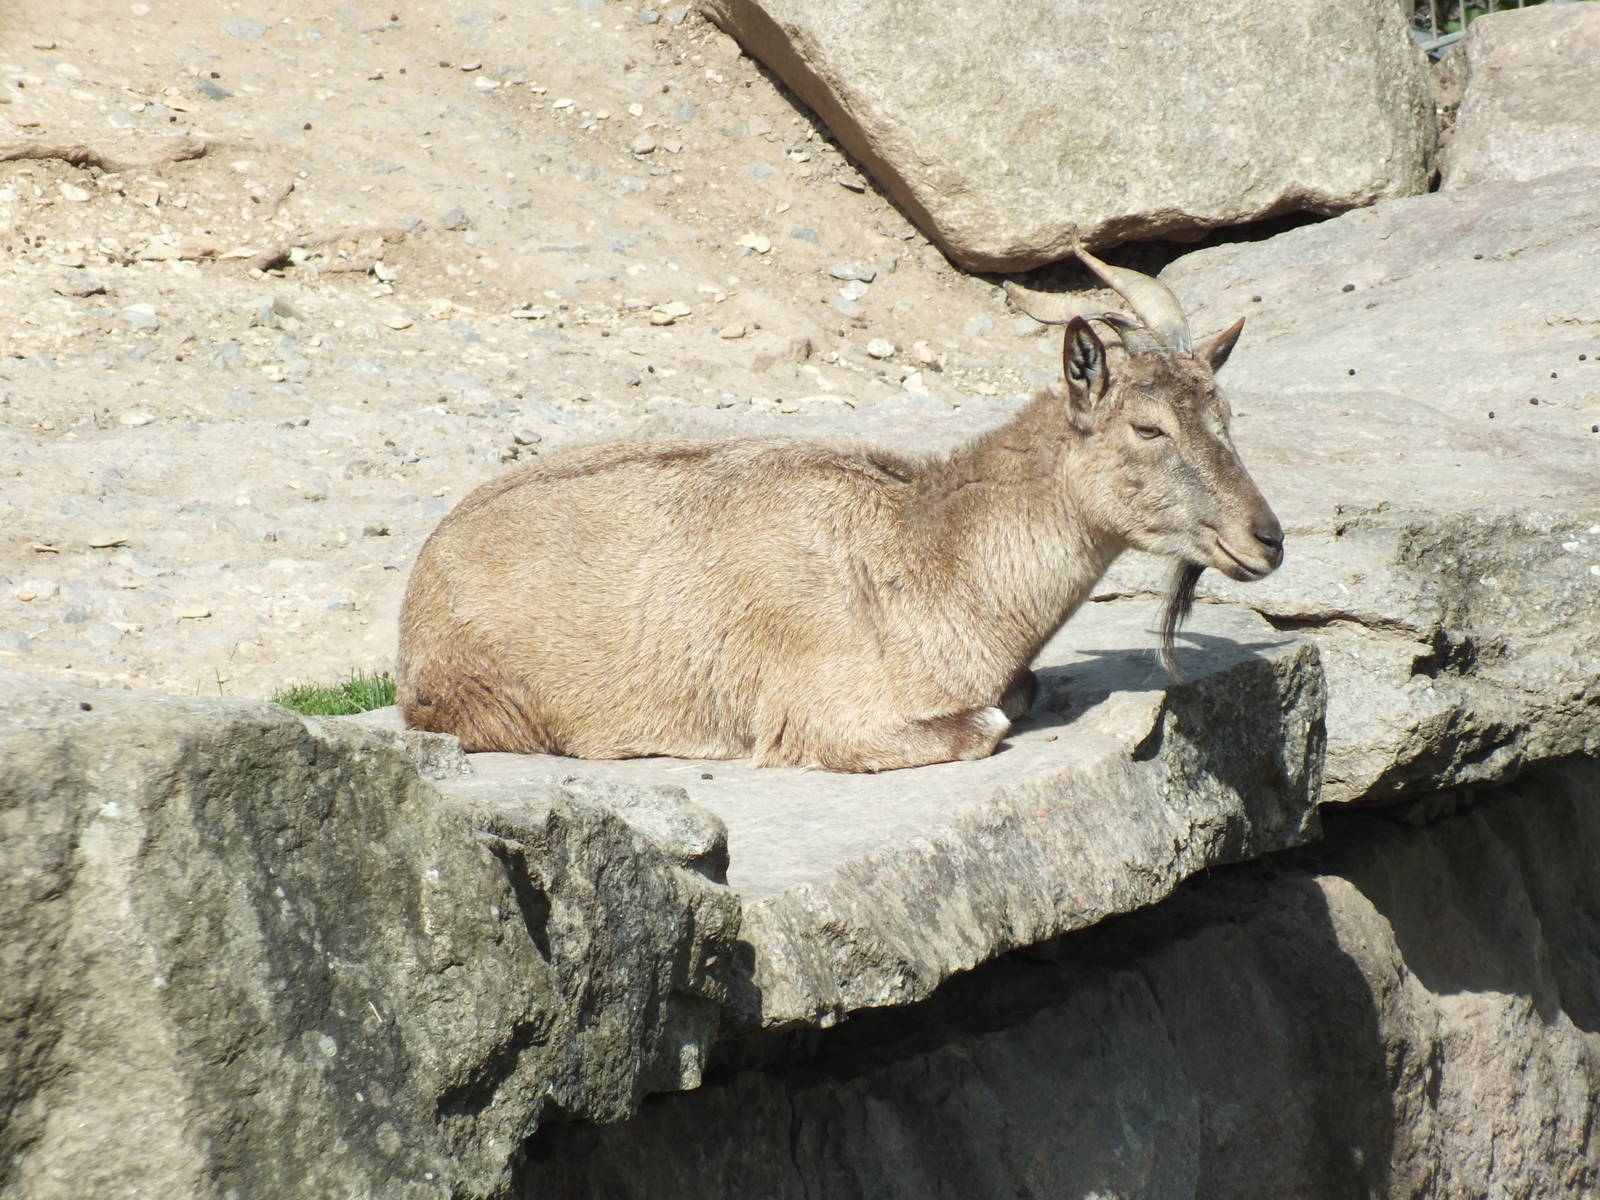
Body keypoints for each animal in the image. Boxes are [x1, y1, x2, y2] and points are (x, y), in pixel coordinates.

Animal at [397, 244, 1283, 772]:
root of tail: (417, 597)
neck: (924, 561)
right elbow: (986, 727)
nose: (1266, 537)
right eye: (1148, 426)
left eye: (1226, 413)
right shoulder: (828, 716)